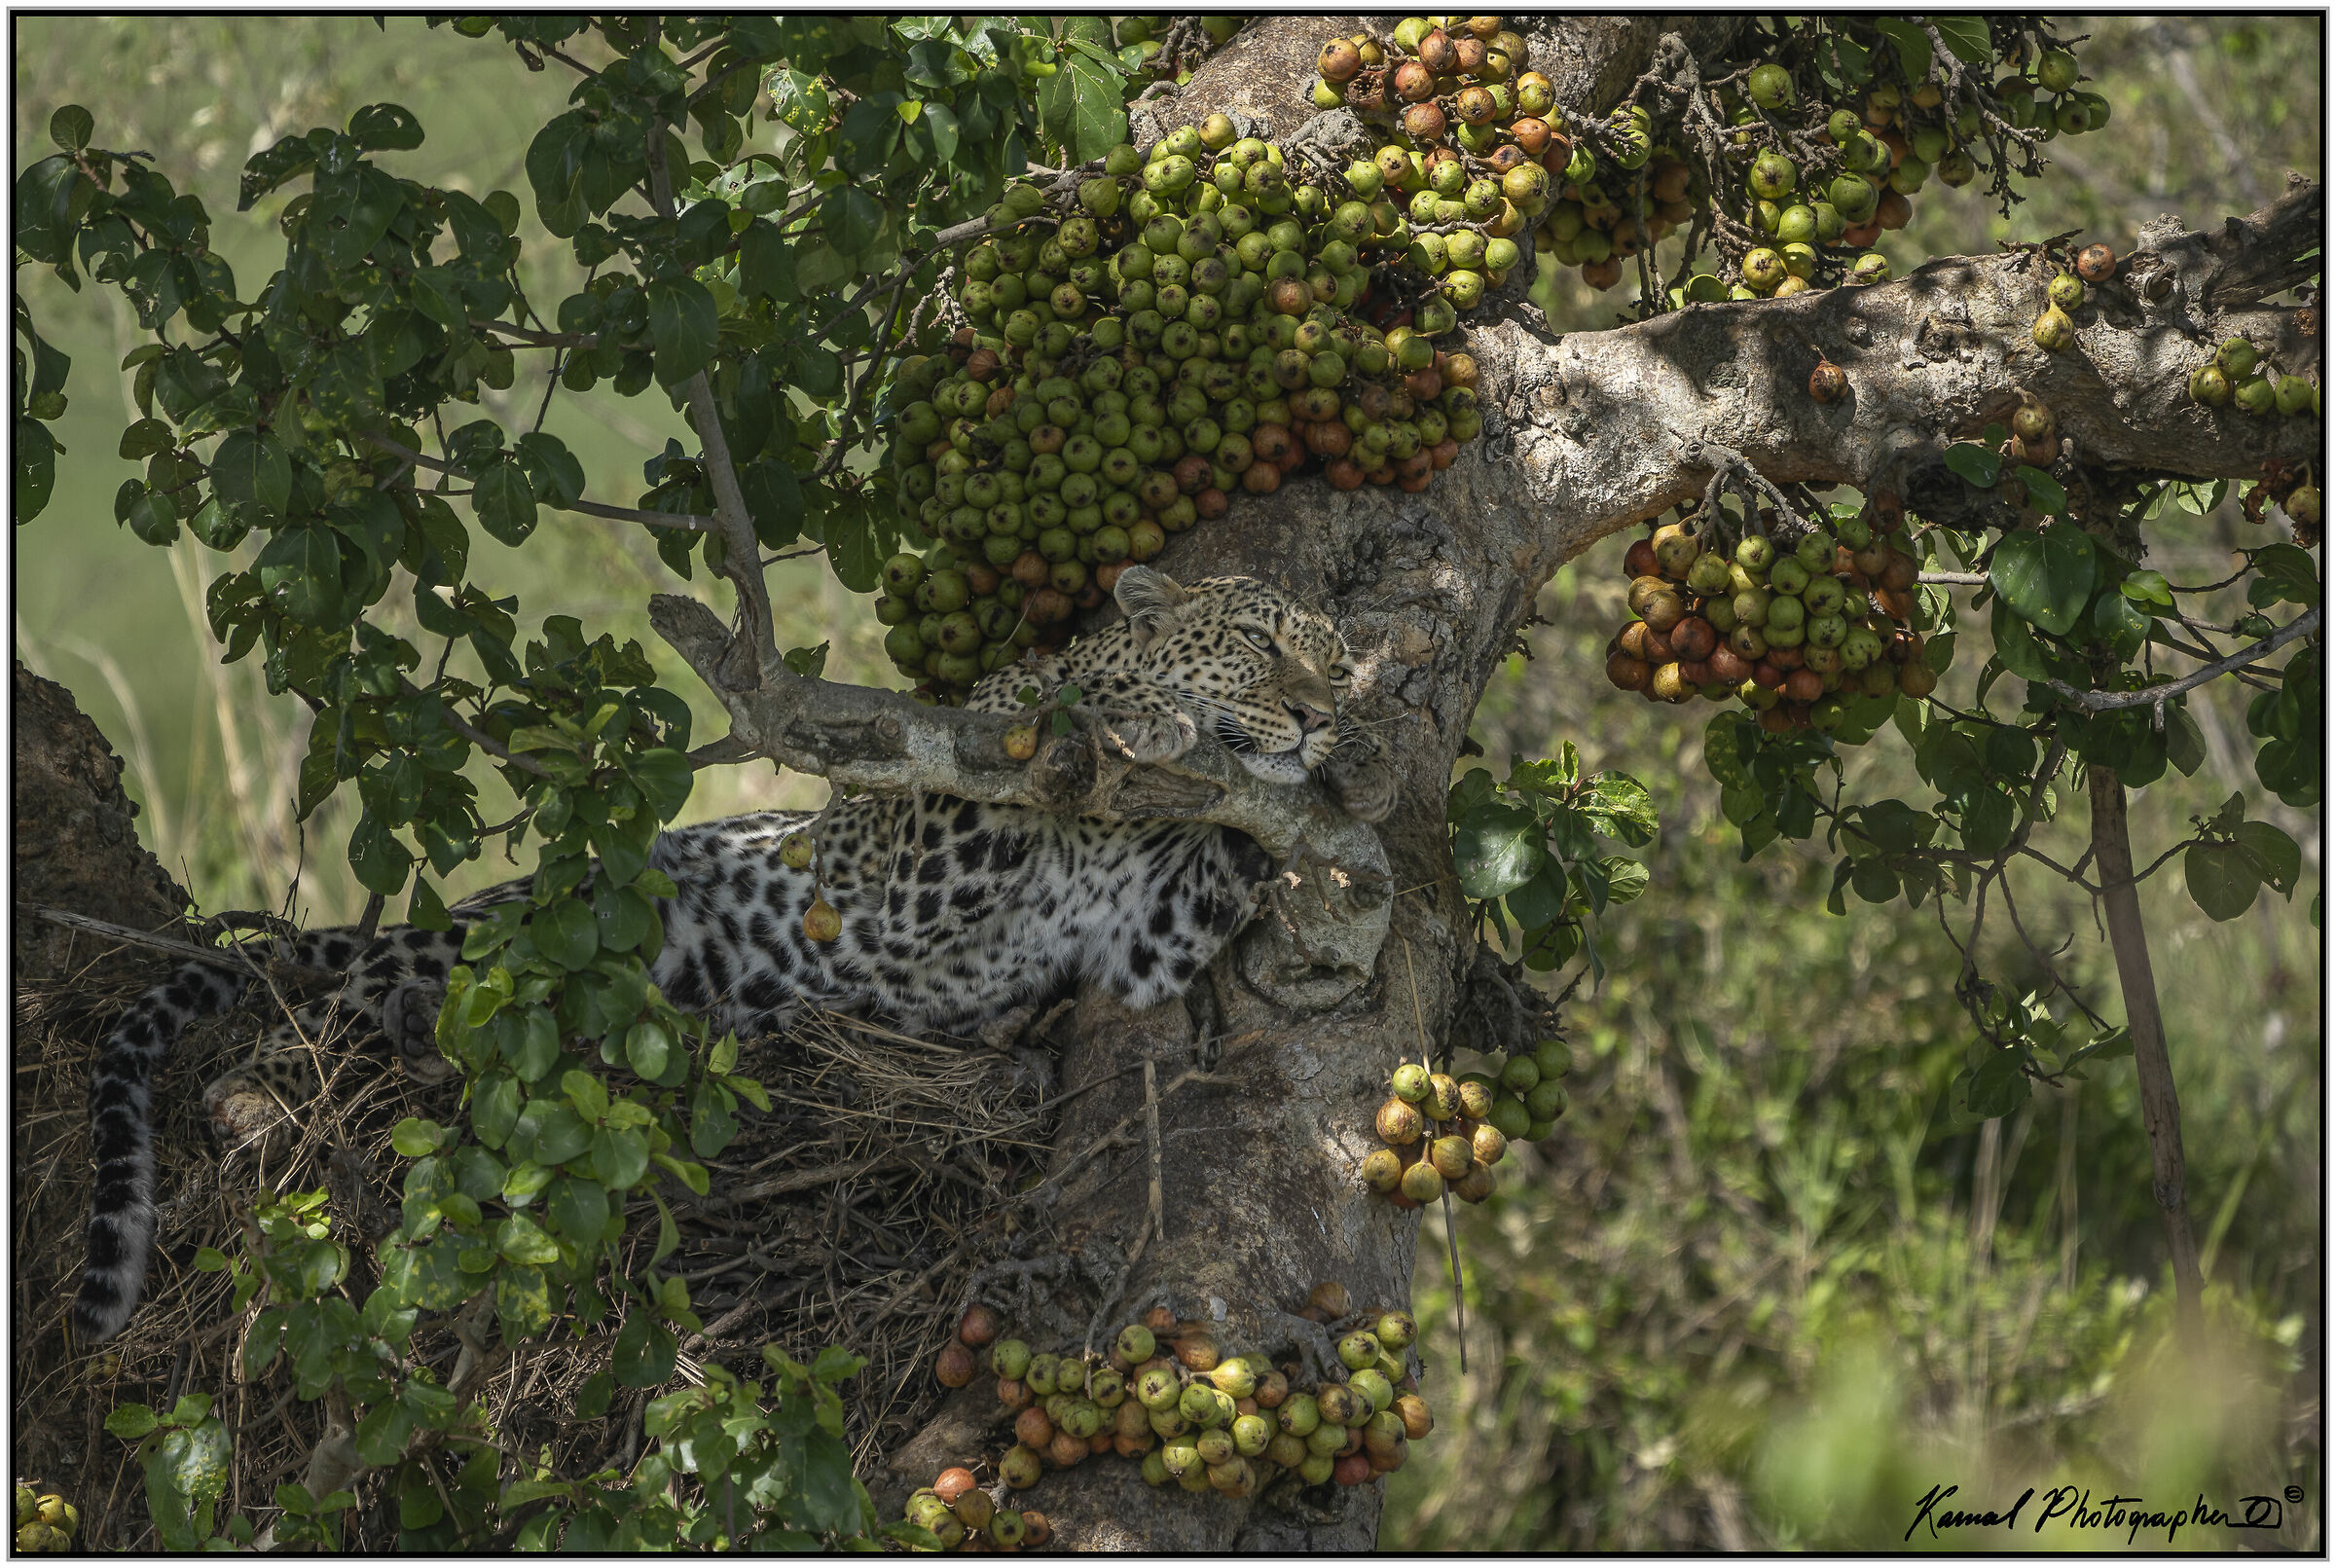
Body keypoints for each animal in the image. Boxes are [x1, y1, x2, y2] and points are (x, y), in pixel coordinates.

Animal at [71, 566, 1395, 1343]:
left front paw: (1344, 793)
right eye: (1258, 642)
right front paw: (1139, 713)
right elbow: (1020, 727)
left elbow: (1225, 861)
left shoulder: (1141, 935)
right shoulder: (898, 859)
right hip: (532, 923)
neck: (1123, 823)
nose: (1325, 710)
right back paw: (284, 1078)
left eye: (1335, 660)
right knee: (344, 1007)